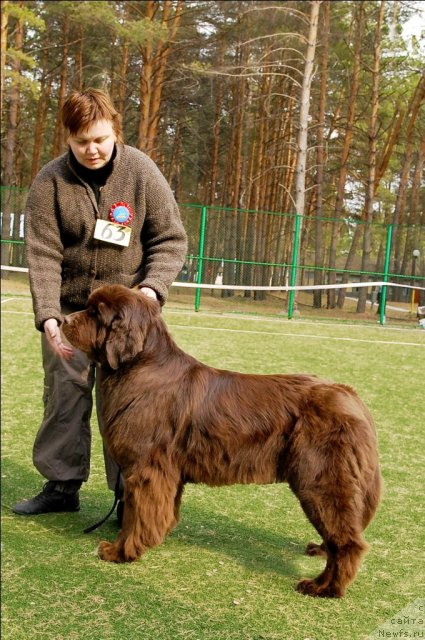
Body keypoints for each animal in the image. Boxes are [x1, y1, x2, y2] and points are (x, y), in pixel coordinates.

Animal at [60, 284, 380, 596]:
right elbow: (161, 512)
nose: (63, 320)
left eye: (95, 313)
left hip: (320, 480)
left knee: (348, 542)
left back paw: (324, 587)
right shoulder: (168, 473)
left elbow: (136, 516)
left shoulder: (145, 469)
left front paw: (119, 551)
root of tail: (352, 397)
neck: (140, 367)